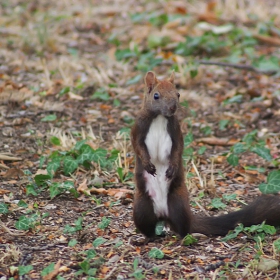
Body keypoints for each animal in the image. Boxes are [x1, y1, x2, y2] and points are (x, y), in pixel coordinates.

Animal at [130, 71, 280, 237]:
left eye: (178, 94)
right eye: (156, 95)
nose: (173, 108)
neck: (159, 118)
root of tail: (163, 215)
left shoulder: (176, 131)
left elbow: (178, 149)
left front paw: (173, 167)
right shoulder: (138, 128)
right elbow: (138, 147)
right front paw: (147, 164)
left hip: (178, 206)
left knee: (183, 229)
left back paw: (182, 239)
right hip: (142, 209)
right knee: (148, 230)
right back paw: (145, 239)